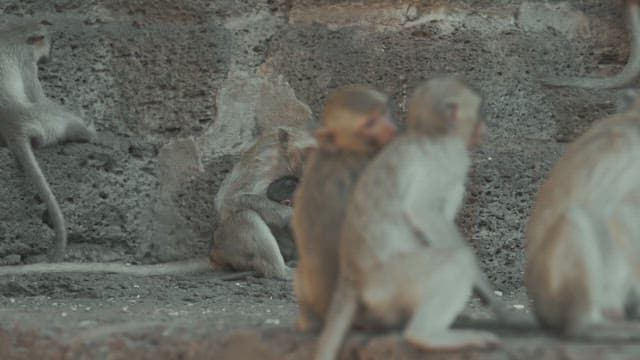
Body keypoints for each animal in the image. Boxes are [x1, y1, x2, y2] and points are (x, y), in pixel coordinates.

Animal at [0, 21, 96, 262]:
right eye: (47, 43)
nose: (49, 57)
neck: (14, 34)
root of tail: (13, 126)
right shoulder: (26, 60)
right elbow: (36, 96)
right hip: (42, 120)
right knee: (57, 115)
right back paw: (87, 131)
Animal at [0, 126, 316, 278]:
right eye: (310, 152)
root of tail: (214, 252)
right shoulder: (265, 159)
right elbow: (230, 199)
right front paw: (289, 213)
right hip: (231, 244)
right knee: (242, 216)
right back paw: (280, 272)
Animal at [316, 79, 504, 360]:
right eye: (479, 111)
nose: (484, 127)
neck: (432, 133)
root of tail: (351, 276)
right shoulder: (448, 158)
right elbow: (422, 210)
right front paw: (484, 289)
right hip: (394, 280)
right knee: (455, 260)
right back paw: (427, 335)